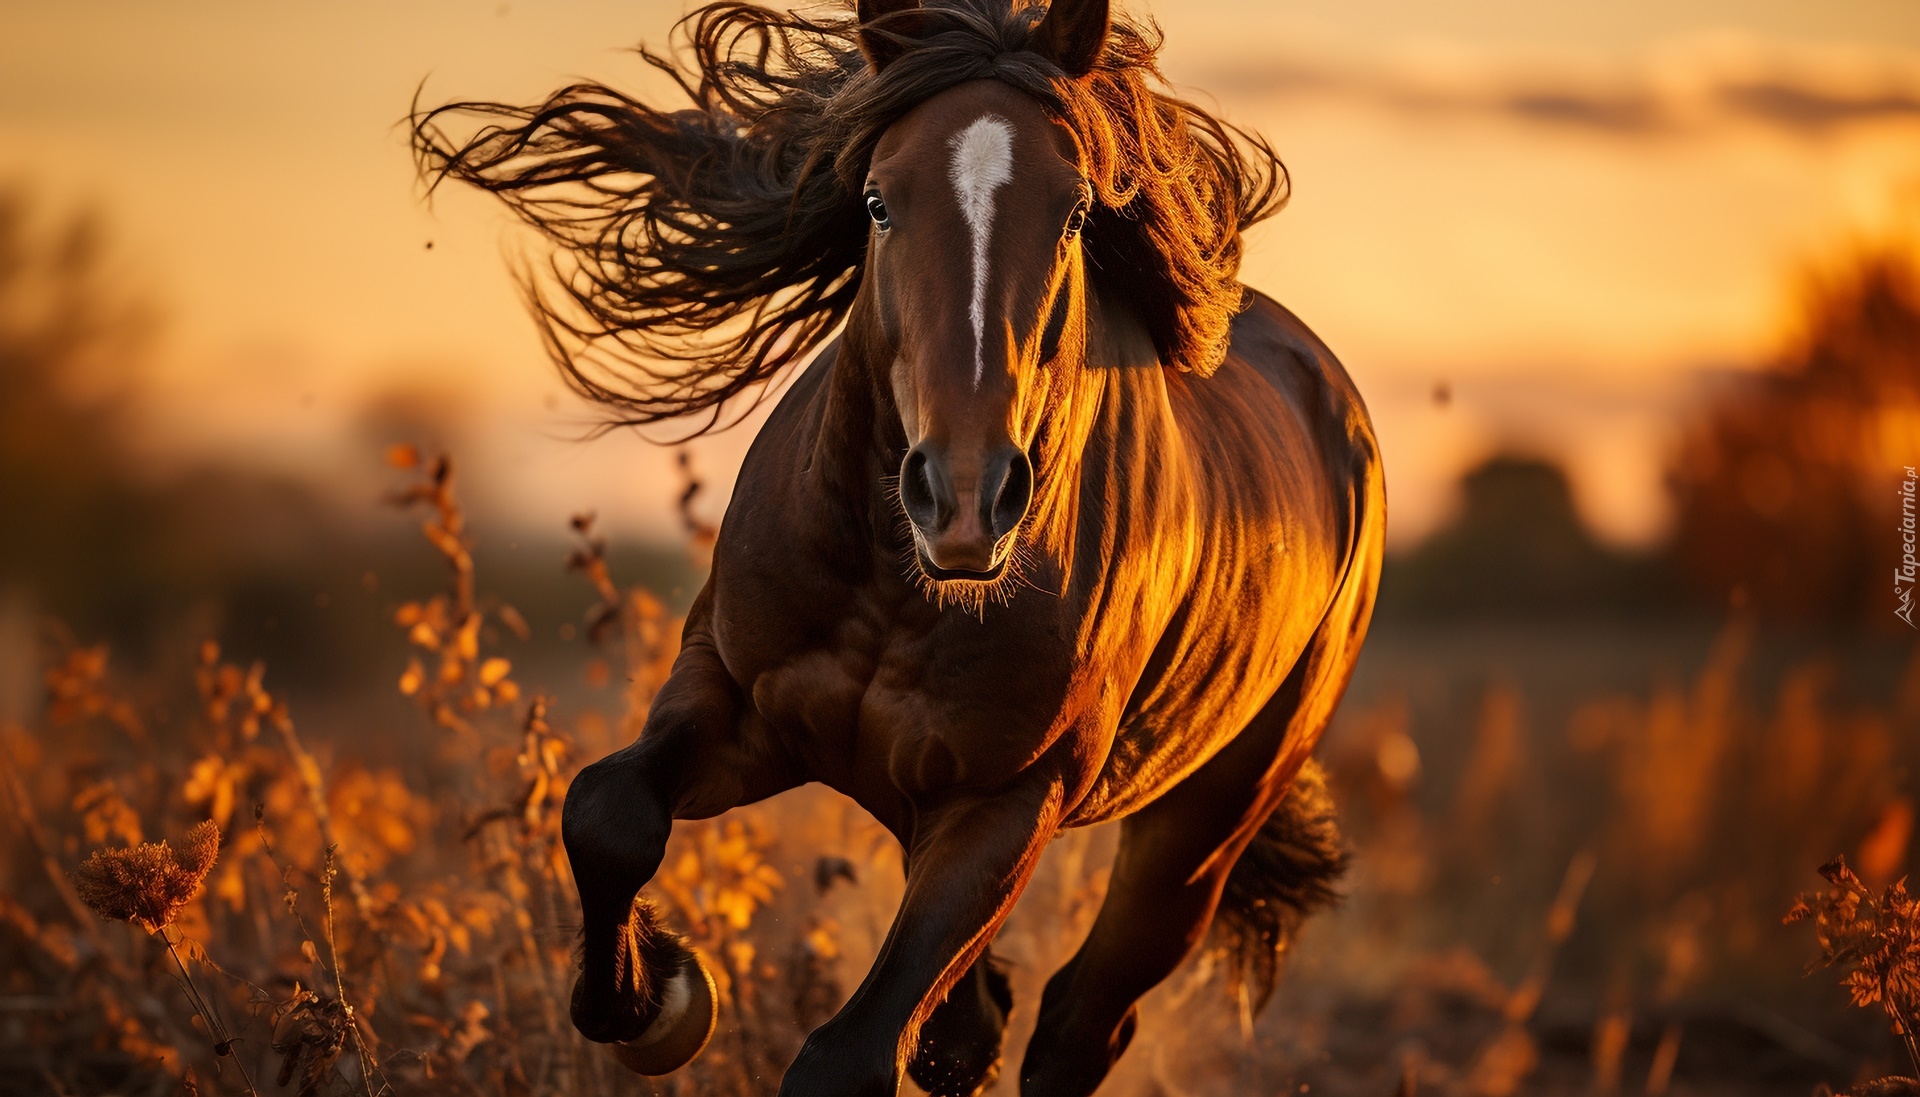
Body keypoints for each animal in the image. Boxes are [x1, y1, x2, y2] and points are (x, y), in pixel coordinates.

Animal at [416, 0, 1382, 1091]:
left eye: (1077, 213)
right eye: (877, 201)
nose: (964, 500)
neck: (894, 586)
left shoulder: (1007, 801)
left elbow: (850, 1052)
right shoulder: (740, 696)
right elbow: (606, 807)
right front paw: (657, 1000)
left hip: (1203, 820)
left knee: (1079, 1021)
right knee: (980, 1019)